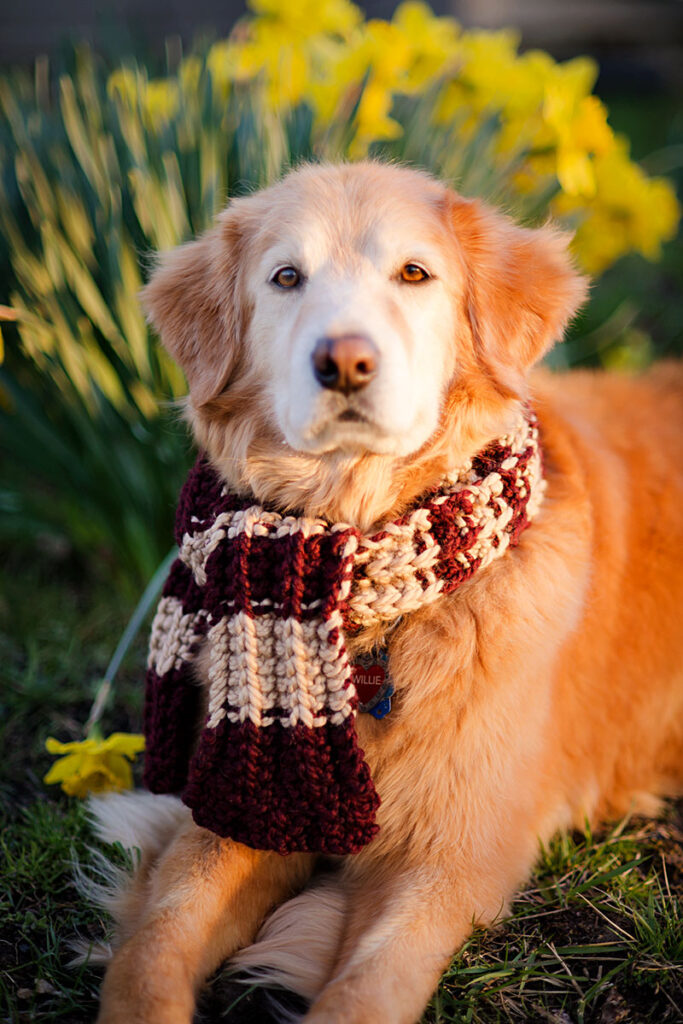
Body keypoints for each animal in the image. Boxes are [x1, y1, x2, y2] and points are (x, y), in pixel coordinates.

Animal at [92, 163, 683, 1019]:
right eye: (285, 277)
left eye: (413, 273)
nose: (343, 362)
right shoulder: (239, 814)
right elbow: (153, 945)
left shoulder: (453, 856)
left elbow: (369, 985)